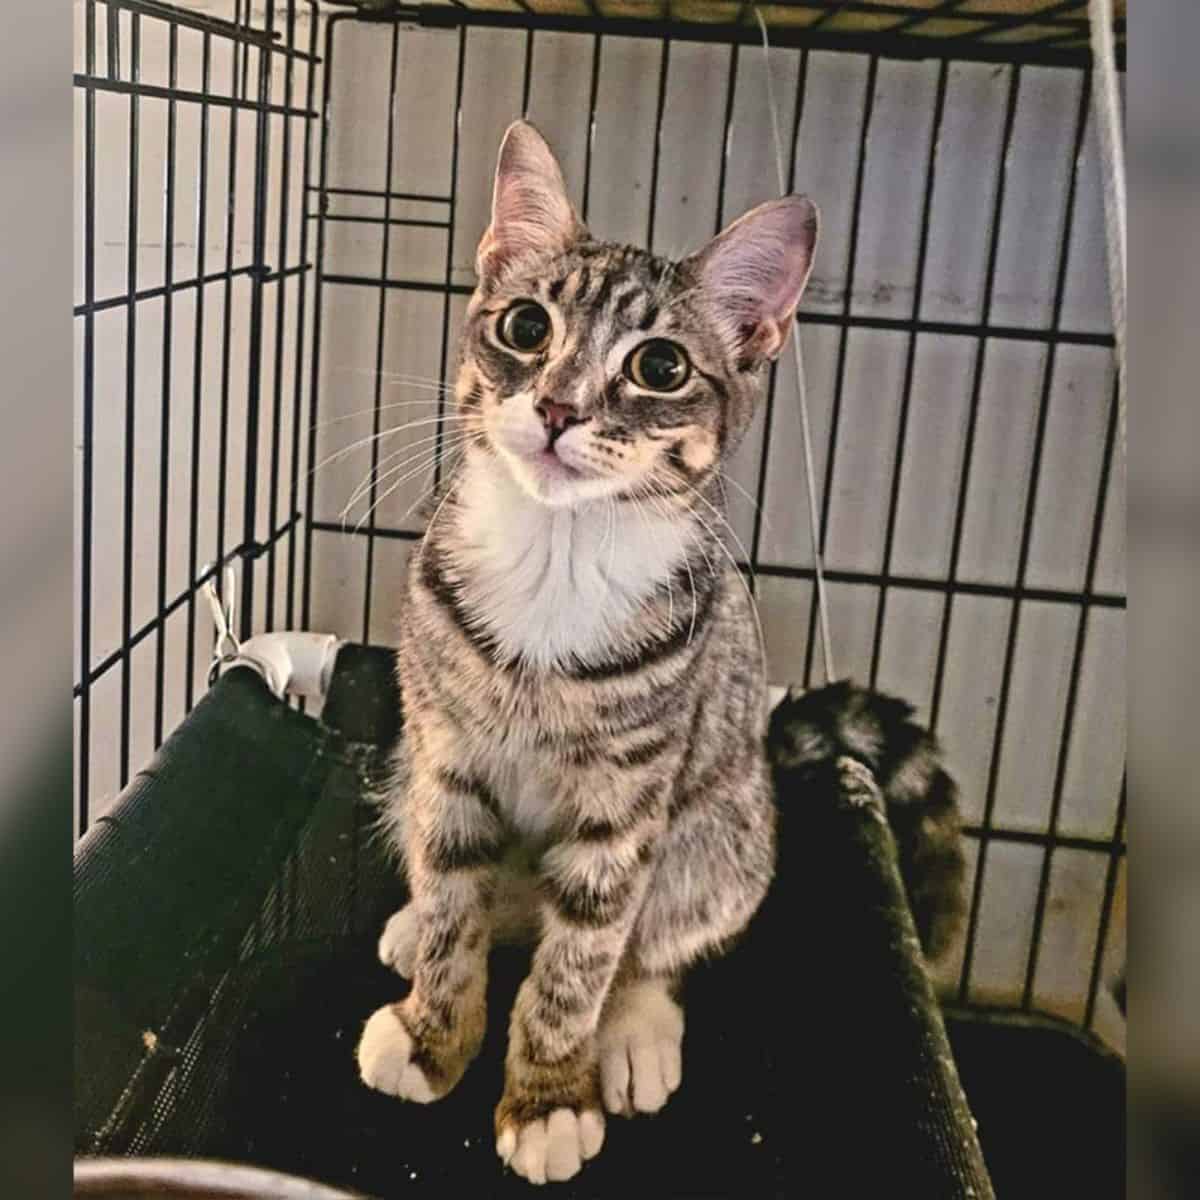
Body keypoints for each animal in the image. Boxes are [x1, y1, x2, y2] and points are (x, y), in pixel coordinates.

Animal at [352, 117, 816, 1185]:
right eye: (526, 327)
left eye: (661, 368)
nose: (560, 408)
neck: (555, 561)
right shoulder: (446, 754)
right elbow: (454, 906)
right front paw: (433, 1033)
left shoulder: (625, 801)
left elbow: (582, 961)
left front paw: (548, 1097)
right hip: (406, 771)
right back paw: (419, 924)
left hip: (723, 835)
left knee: (649, 943)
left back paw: (635, 1029)